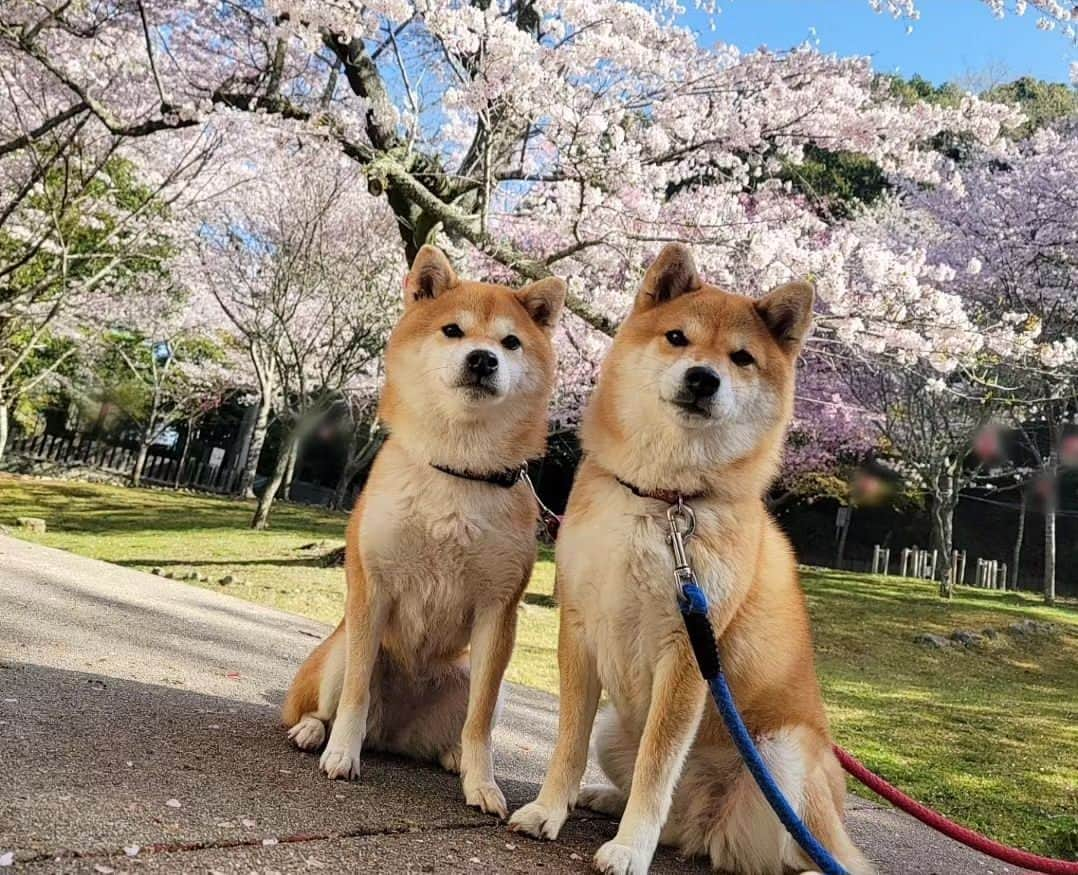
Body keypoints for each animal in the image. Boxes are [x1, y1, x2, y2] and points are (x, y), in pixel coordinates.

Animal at [282, 242, 569, 818]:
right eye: (453, 331)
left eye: (511, 342)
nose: (483, 358)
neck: (458, 468)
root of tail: (393, 736)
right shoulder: (372, 588)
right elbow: (356, 694)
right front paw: (341, 754)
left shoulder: (498, 612)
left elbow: (480, 724)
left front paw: (482, 783)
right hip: (339, 650)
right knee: (331, 704)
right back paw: (315, 733)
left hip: (469, 674)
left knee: (460, 727)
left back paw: (452, 757)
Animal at [508, 244, 871, 875]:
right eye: (677, 338)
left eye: (742, 357)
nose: (704, 377)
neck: (666, 497)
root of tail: (710, 824)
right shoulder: (578, 630)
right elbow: (568, 743)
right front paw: (550, 809)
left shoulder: (687, 653)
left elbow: (658, 767)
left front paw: (631, 847)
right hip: (617, 730)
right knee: (677, 821)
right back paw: (608, 799)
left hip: (784, 753)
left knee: (805, 850)